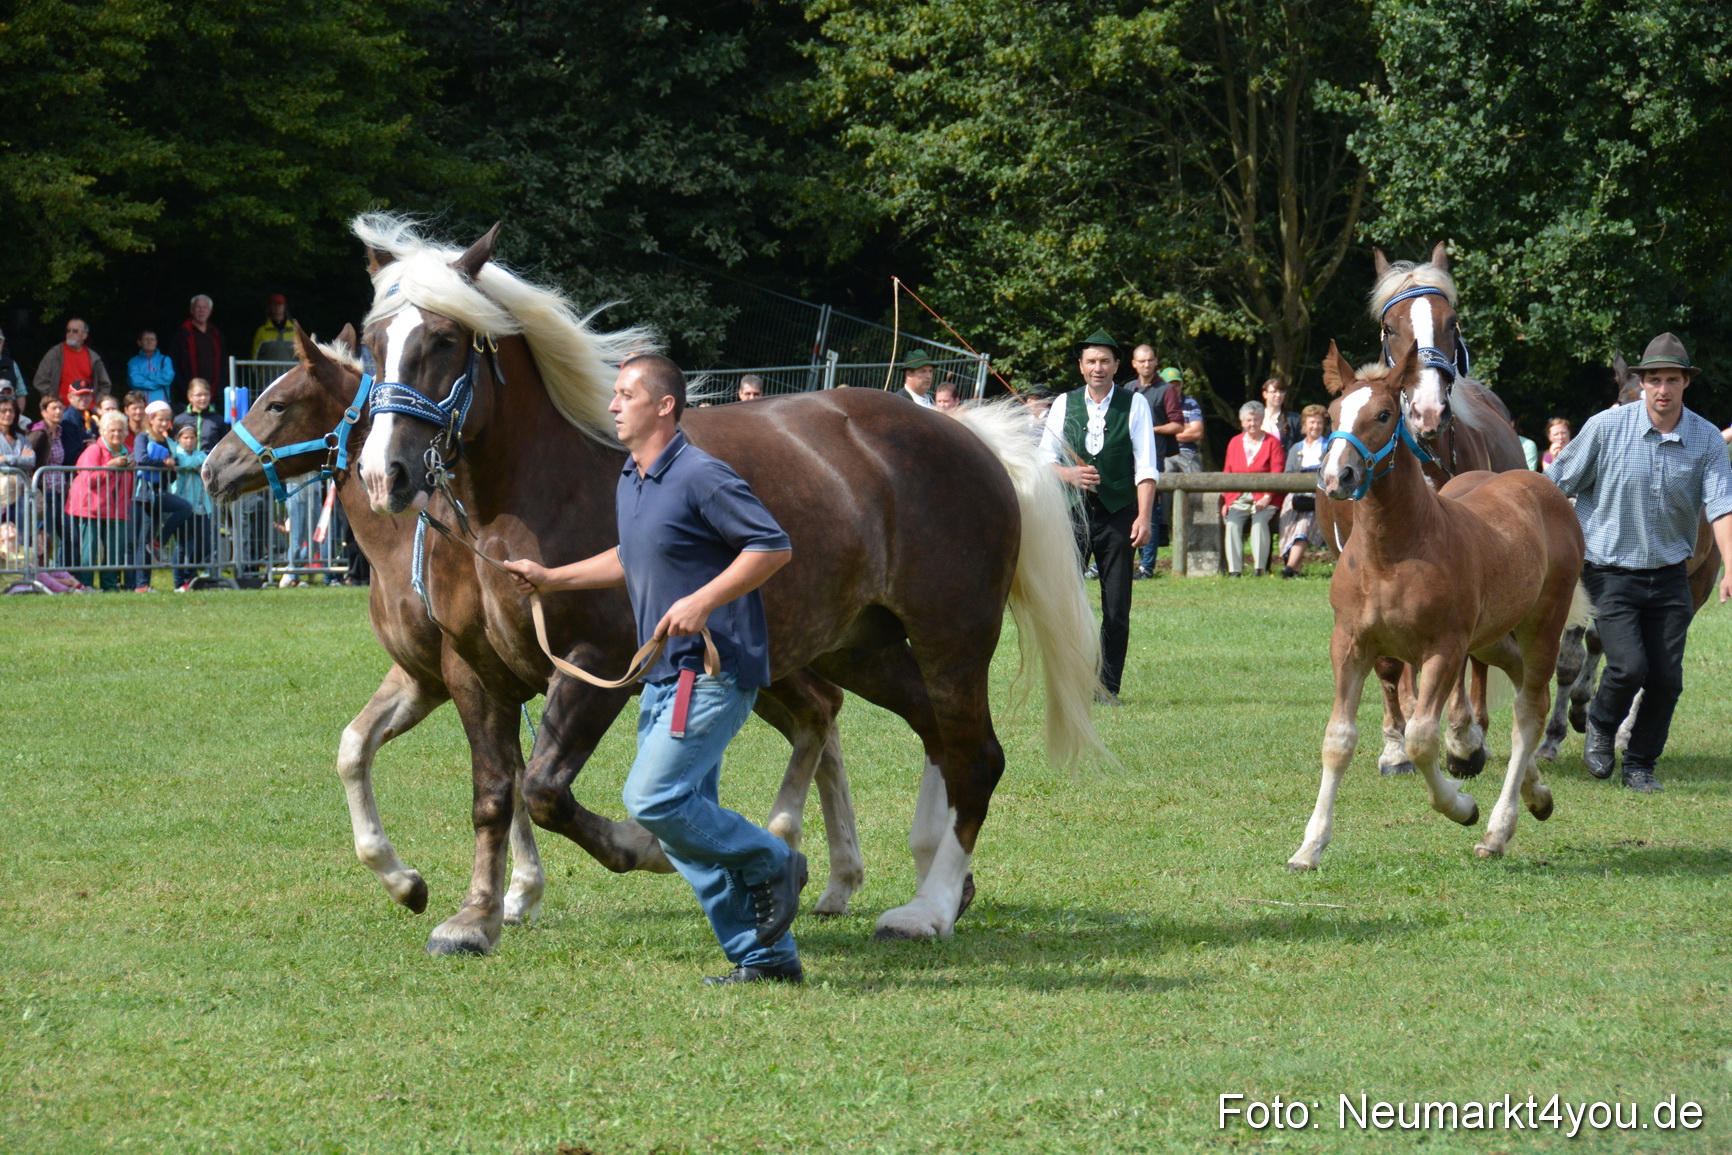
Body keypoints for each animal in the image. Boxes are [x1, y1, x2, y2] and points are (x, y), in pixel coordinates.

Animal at [203, 326, 869, 955]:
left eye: (278, 403)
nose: (212, 469)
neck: (413, 541)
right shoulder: (433, 677)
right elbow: (363, 750)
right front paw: (425, 885)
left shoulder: (476, 677)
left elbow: (519, 780)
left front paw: (511, 892)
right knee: (824, 720)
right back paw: (834, 877)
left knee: (820, 714)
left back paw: (791, 846)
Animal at [348, 213, 1104, 942]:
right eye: (372, 343)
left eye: (445, 339)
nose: (387, 475)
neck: (527, 498)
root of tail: (968, 436)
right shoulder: (473, 671)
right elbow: (493, 795)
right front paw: (474, 916)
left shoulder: (599, 663)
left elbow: (543, 790)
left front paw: (649, 847)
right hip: (861, 647)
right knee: (936, 733)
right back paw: (934, 876)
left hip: (953, 637)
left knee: (975, 755)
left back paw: (930, 907)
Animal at [1288, 343, 1587, 870]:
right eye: (1334, 413)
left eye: (1384, 415)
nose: (1337, 475)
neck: (1394, 552)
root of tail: (1543, 486)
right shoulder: (1350, 644)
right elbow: (1338, 739)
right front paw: (1310, 846)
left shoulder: (1444, 650)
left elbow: (1421, 738)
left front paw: (1461, 806)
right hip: (1490, 637)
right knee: (1520, 686)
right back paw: (1536, 794)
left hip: (1541, 625)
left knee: (1529, 712)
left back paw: (1497, 829)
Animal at [1313, 244, 1533, 780]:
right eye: (1390, 327)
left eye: (1451, 322)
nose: (1429, 411)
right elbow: (1391, 666)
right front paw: (1395, 743)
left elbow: (1460, 658)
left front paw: (1461, 737)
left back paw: (1470, 731)